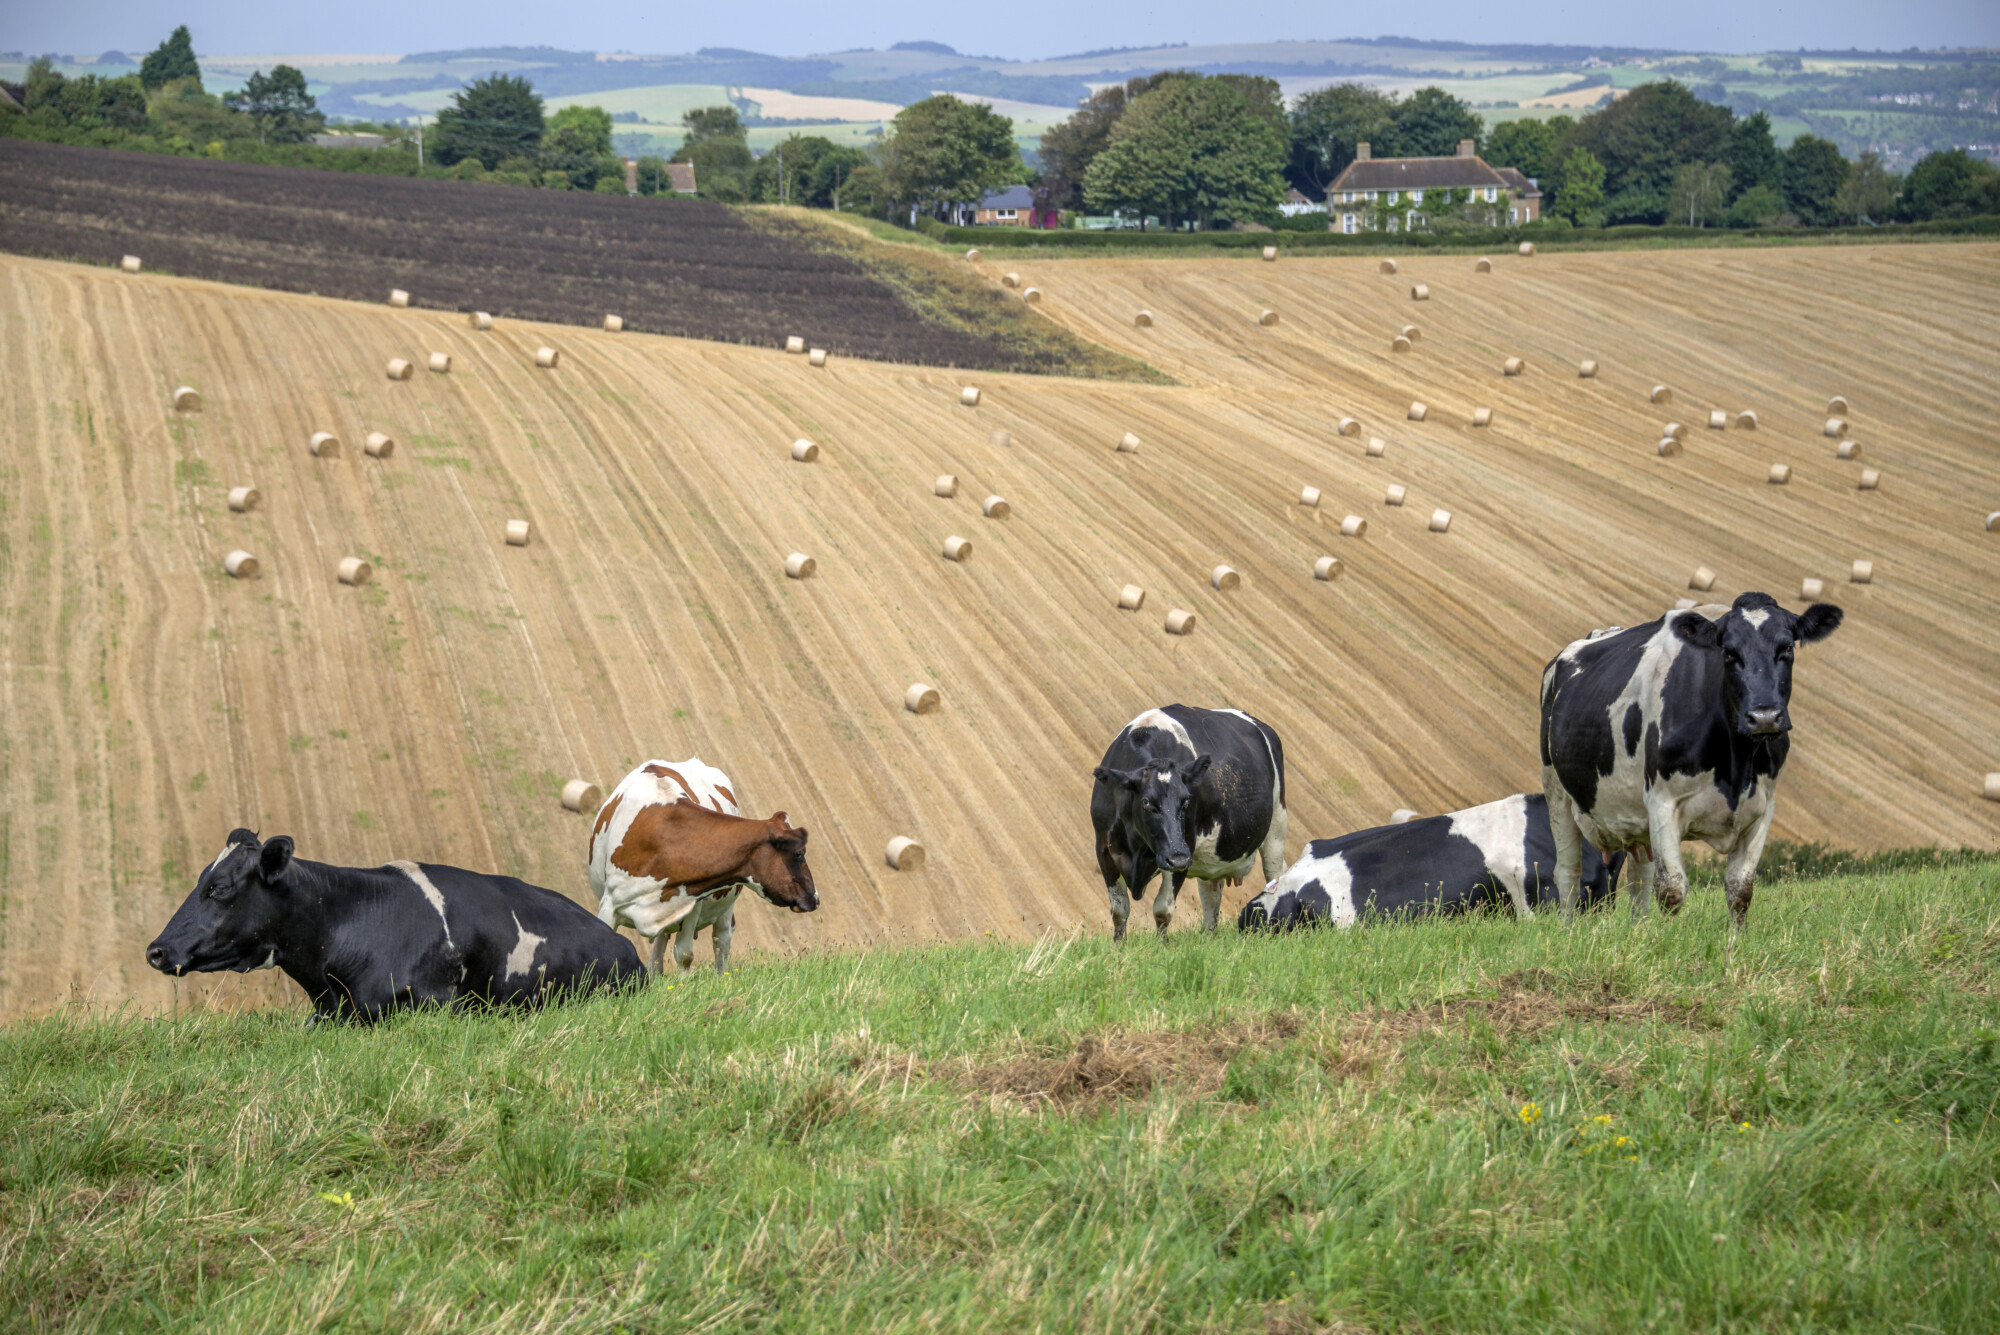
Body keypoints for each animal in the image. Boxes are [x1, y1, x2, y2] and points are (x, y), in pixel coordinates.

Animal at [584, 759, 820, 971]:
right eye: (799, 854)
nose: (815, 898)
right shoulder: (609, 904)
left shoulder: (693, 903)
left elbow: (684, 955)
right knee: (657, 959)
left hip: (726, 909)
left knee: (721, 944)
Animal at [1088, 699, 1288, 939]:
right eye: (1146, 802)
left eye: (1186, 802)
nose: (1178, 858)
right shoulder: (1104, 849)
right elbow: (1119, 910)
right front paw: (1119, 946)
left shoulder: (1185, 847)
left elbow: (1162, 910)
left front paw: (1161, 945)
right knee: (1211, 898)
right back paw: (1209, 936)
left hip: (1276, 827)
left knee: (1275, 876)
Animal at [1536, 595, 1848, 927]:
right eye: (1728, 652)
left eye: (1788, 647)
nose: (1764, 717)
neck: (1735, 768)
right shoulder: (1662, 802)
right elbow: (1671, 889)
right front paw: (1668, 936)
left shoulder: (1763, 807)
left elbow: (1740, 889)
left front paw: (1735, 938)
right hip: (1556, 791)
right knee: (1568, 872)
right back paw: (1569, 928)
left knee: (1639, 877)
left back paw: (1640, 928)